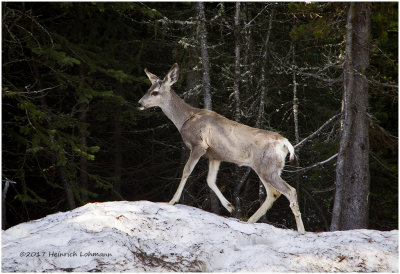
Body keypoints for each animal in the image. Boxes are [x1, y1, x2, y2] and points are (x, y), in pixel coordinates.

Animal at [138, 63, 306, 234]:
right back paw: (250, 220)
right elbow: (210, 180)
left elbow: (186, 171)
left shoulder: (199, 145)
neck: (186, 118)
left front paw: (172, 201)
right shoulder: (215, 156)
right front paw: (230, 206)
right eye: (148, 88)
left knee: (290, 190)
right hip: (265, 168)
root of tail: (285, 143)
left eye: (155, 92)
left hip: (267, 167)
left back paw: (301, 230)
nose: (139, 103)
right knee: (274, 193)